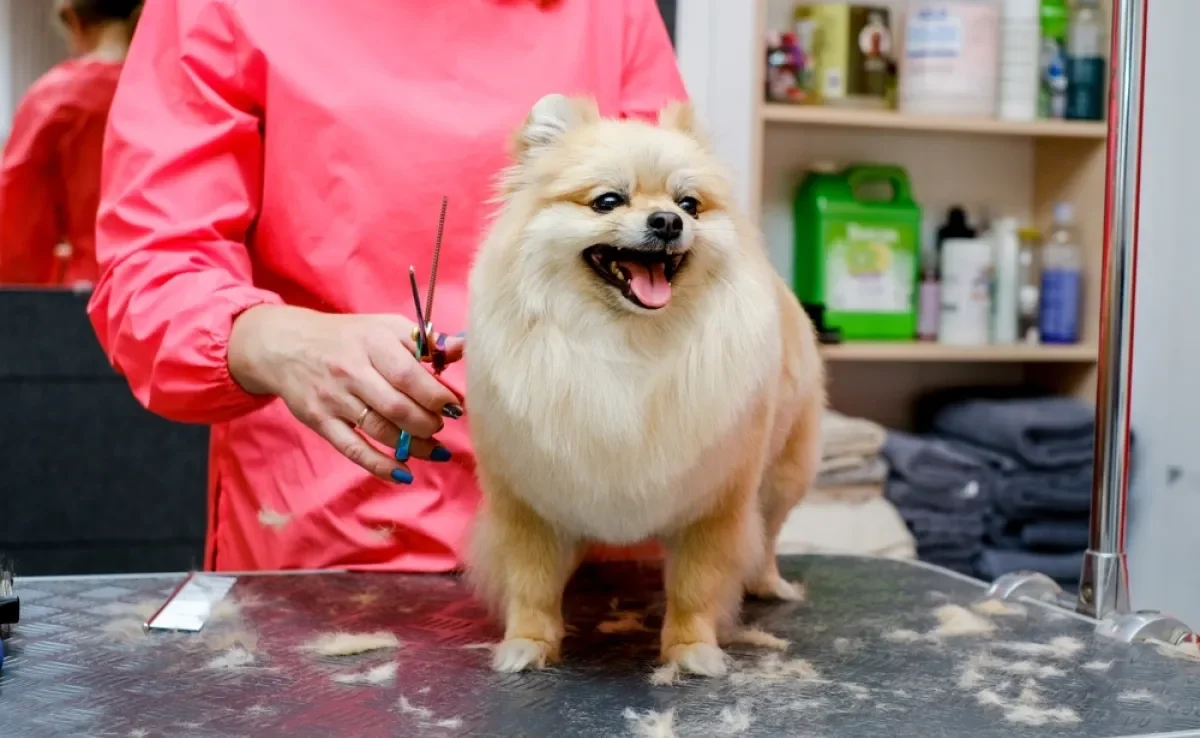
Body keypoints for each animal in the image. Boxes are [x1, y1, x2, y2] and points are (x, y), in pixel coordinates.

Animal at [460, 95, 825, 676]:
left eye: (690, 204)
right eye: (608, 201)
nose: (668, 221)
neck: (627, 344)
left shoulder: (714, 503)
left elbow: (696, 586)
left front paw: (692, 651)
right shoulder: (528, 501)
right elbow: (531, 583)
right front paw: (528, 643)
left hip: (784, 475)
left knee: (767, 535)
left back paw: (770, 584)